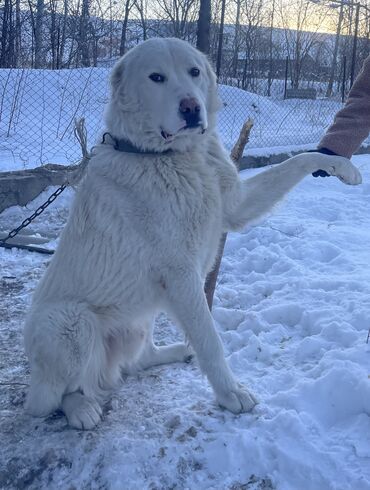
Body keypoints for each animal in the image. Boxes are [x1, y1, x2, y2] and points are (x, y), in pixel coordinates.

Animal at [24, 38, 362, 428]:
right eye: (156, 77)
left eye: (194, 72)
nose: (191, 108)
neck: (173, 156)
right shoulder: (182, 273)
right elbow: (210, 339)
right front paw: (231, 394)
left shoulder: (237, 208)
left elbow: (299, 160)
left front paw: (340, 166)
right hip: (69, 323)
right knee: (54, 396)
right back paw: (81, 408)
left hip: (140, 319)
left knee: (137, 361)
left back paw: (176, 352)